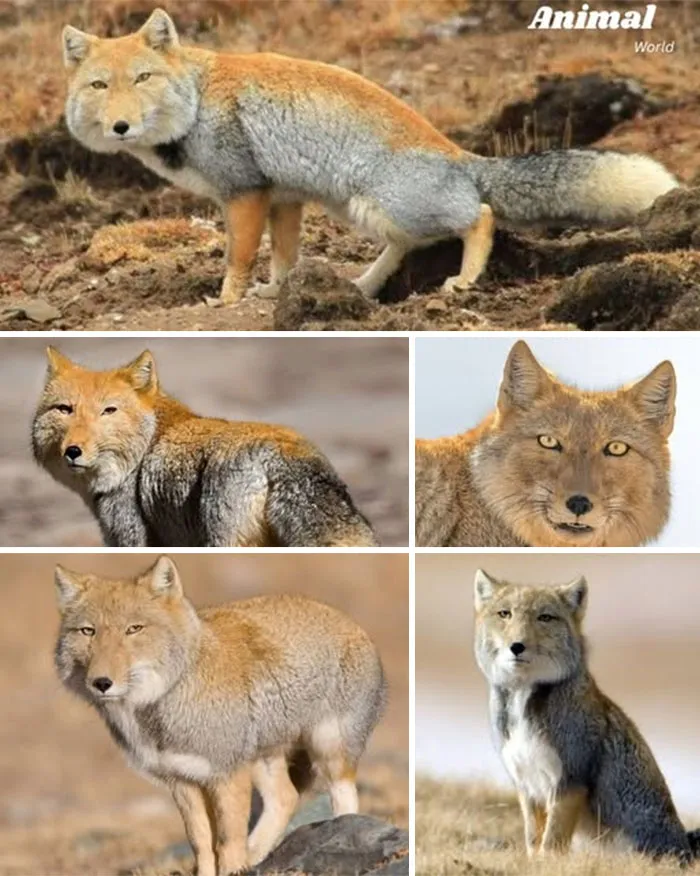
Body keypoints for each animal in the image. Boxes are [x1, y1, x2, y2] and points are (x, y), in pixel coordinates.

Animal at [53, 556, 387, 876]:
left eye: (134, 629)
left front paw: (233, 866)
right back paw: (256, 854)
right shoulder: (183, 780)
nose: (101, 683)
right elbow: (201, 843)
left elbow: (227, 840)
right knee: (286, 797)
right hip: (263, 760)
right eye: (88, 631)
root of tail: (349, 621)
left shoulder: (227, 774)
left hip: (329, 751)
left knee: (344, 798)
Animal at [61, 9, 679, 305]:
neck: (197, 98)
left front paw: (225, 299)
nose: (121, 125)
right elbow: (283, 259)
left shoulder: (245, 193)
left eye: (143, 79)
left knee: (480, 216)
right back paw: (360, 288)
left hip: (391, 206)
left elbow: (239, 257)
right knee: (406, 247)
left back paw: (463, 279)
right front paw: (279, 293)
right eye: (99, 85)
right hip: (362, 211)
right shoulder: (283, 198)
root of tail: (460, 154)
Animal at [473, 568, 699, 864]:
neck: (524, 703)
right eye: (505, 614)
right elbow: (534, 838)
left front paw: (546, 864)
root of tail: (685, 845)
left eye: (545, 617)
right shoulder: (527, 784)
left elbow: (552, 841)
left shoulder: (570, 780)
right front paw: (534, 862)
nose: (517, 646)